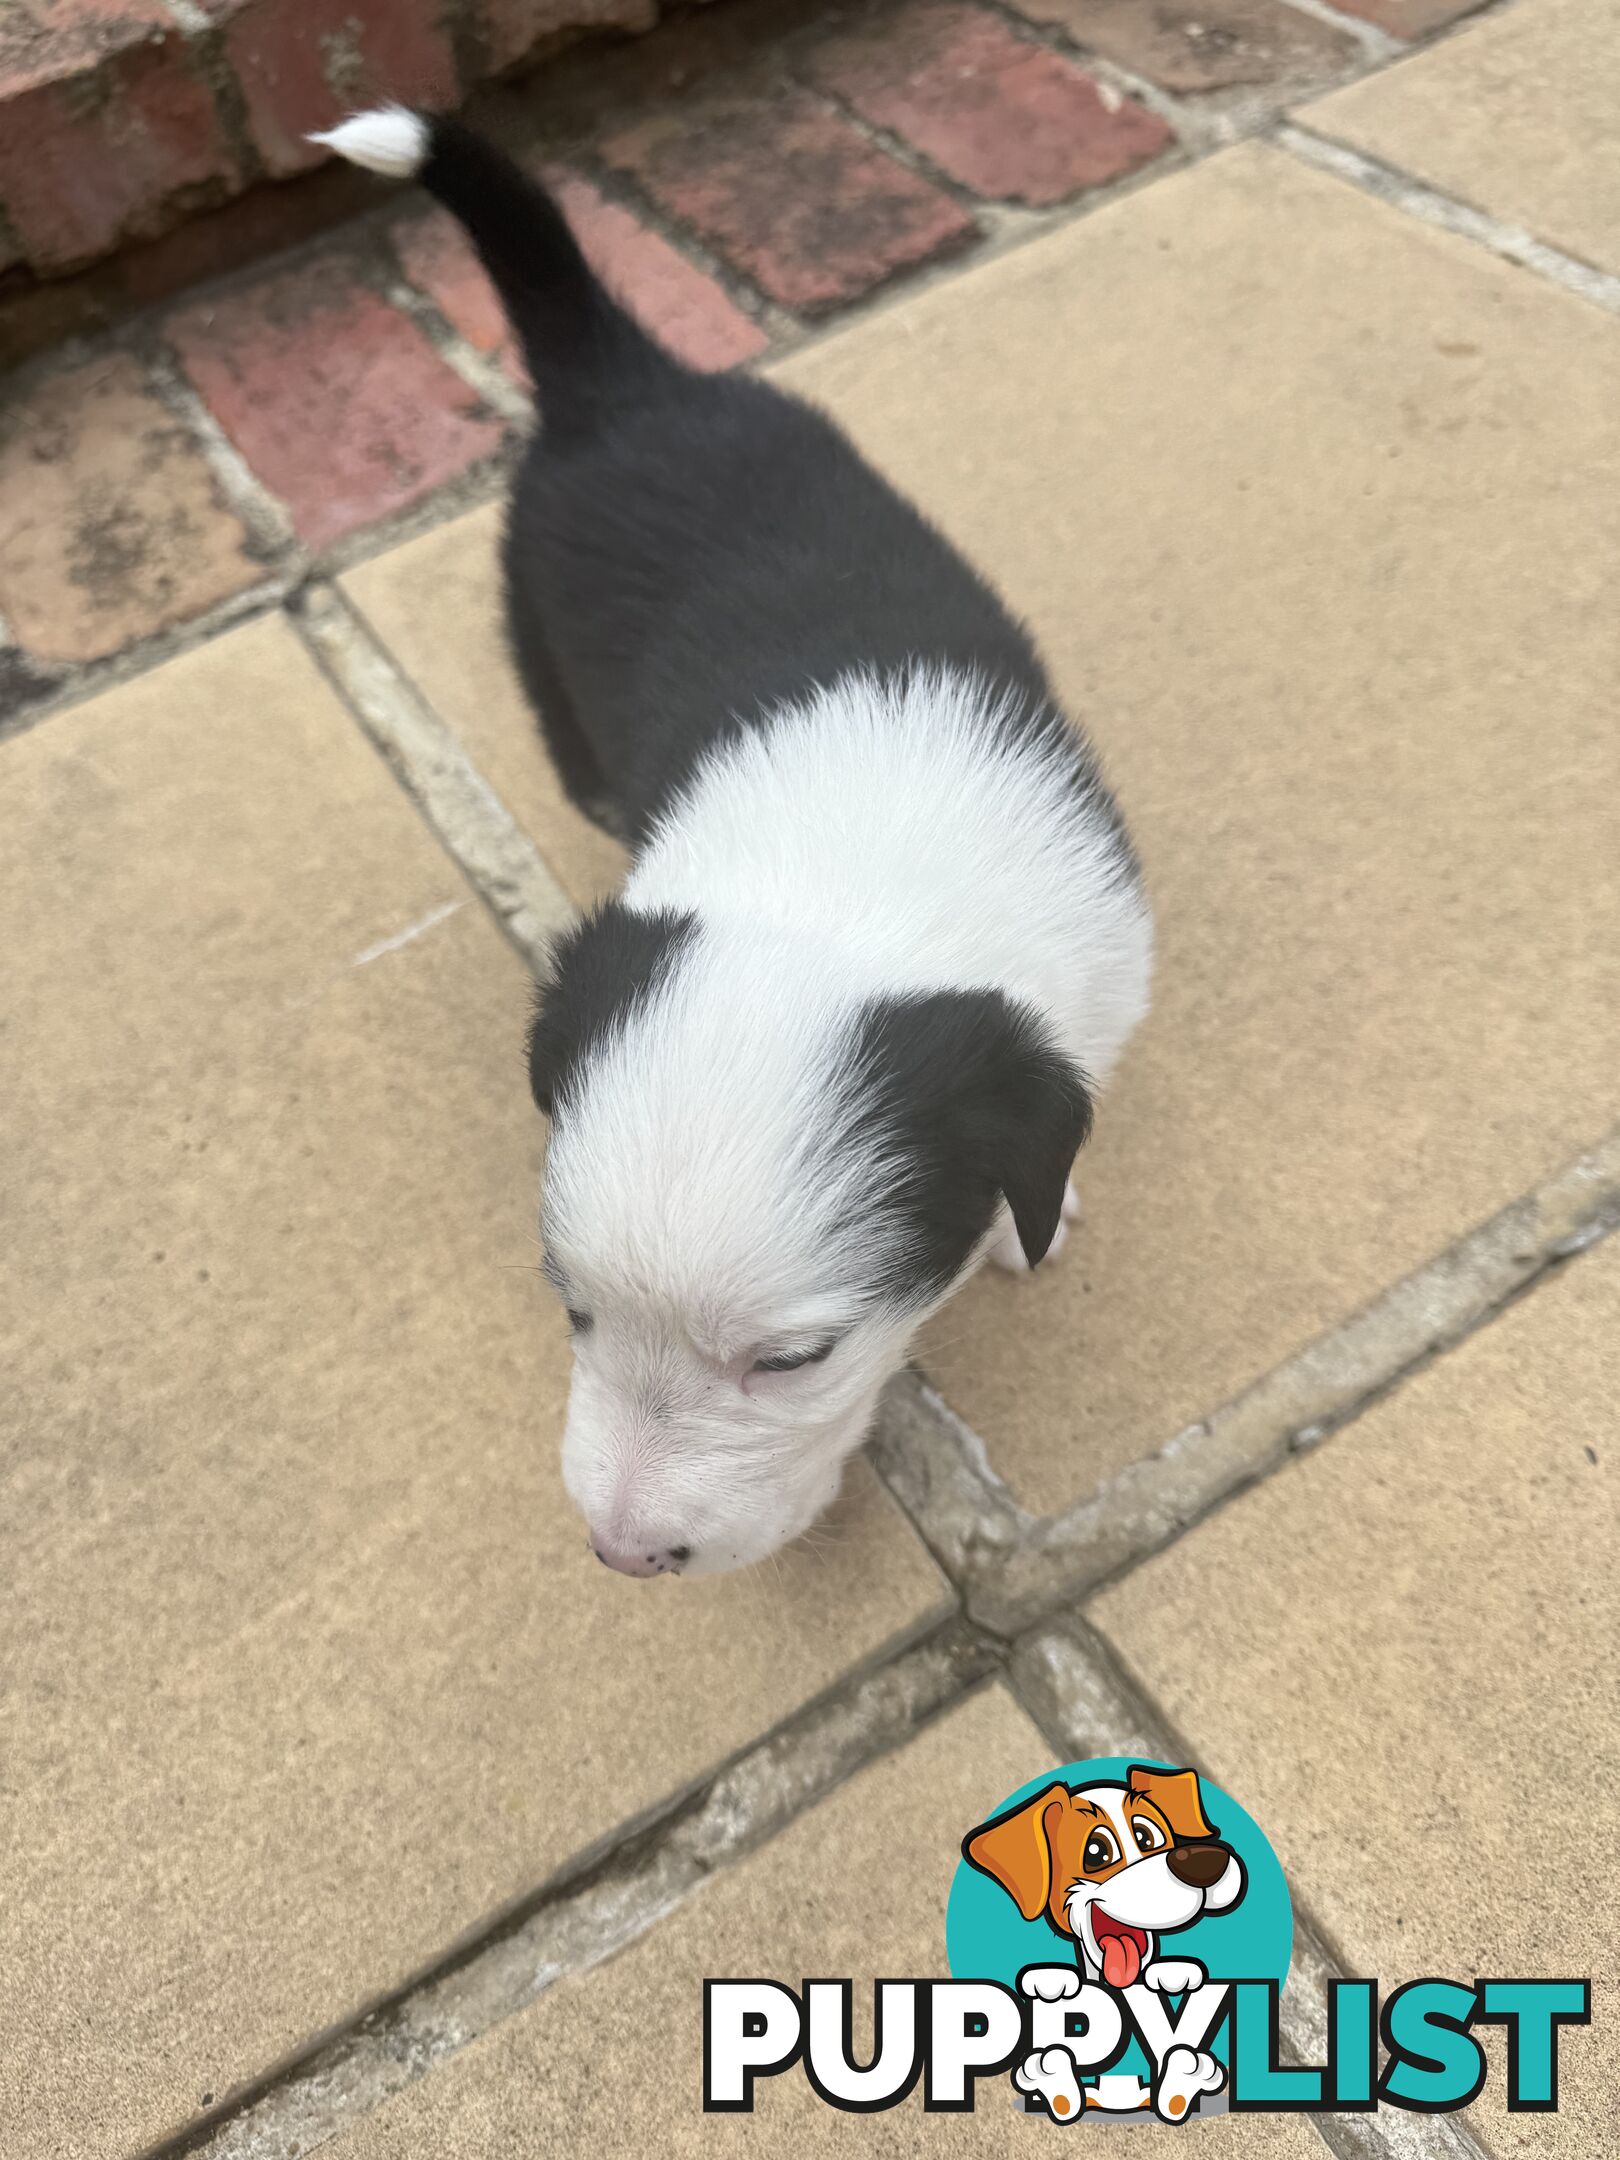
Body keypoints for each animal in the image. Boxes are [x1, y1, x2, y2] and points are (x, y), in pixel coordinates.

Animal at [317, 109, 1157, 1581]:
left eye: (793, 1359)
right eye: (569, 1305)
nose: (624, 1554)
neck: (850, 875)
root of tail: (623, 384)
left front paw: (1025, 1227)